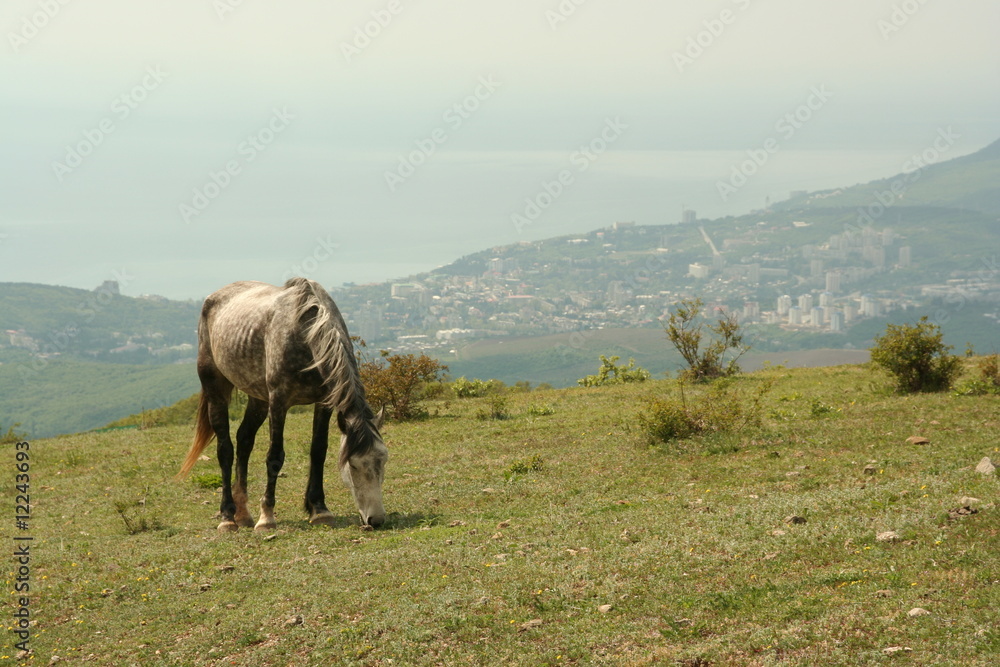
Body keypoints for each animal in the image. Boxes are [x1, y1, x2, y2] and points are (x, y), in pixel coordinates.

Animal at [177, 278, 388, 532]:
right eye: (353, 465)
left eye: (383, 461)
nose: (376, 519)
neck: (306, 335)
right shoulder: (279, 402)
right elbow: (275, 457)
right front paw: (267, 517)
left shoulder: (324, 403)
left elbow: (318, 450)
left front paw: (319, 510)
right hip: (216, 390)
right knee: (225, 450)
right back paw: (228, 517)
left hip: (258, 397)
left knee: (244, 440)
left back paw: (243, 513)